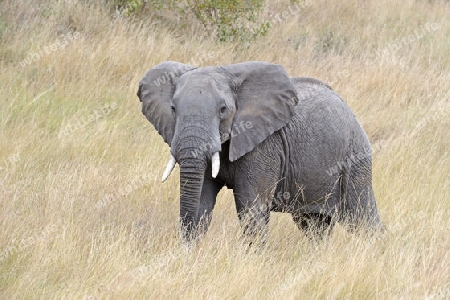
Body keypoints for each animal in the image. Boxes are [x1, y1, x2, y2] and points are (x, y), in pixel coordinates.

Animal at [138, 61, 384, 244]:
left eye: (223, 109)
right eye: (173, 109)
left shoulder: (265, 145)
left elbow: (251, 207)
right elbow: (201, 201)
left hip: (354, 159)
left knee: (362, 218)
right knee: (314, 225)